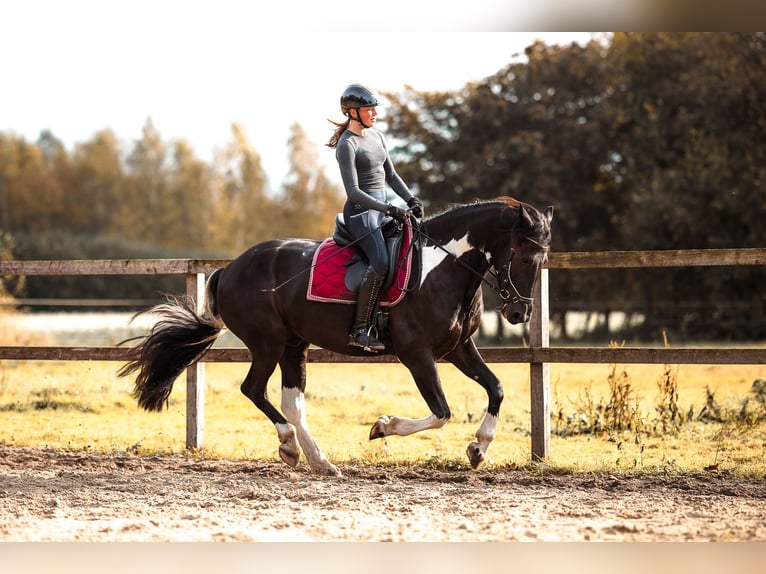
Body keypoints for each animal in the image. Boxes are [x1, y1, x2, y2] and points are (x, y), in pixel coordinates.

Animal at [118, 198, 552, 476]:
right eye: (524, 255)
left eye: (542, 258)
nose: (520, 313)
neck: (440, 269)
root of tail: (231, 268)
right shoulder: (417, 353)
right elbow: (441, 411)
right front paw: (382, 426)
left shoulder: (459, 348)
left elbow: (495, 388)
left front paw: (479, 449)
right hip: (268, 343)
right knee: (254, 389)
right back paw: (290, 447)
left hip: (294, 345)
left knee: (291, 402)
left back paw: (319, 460)